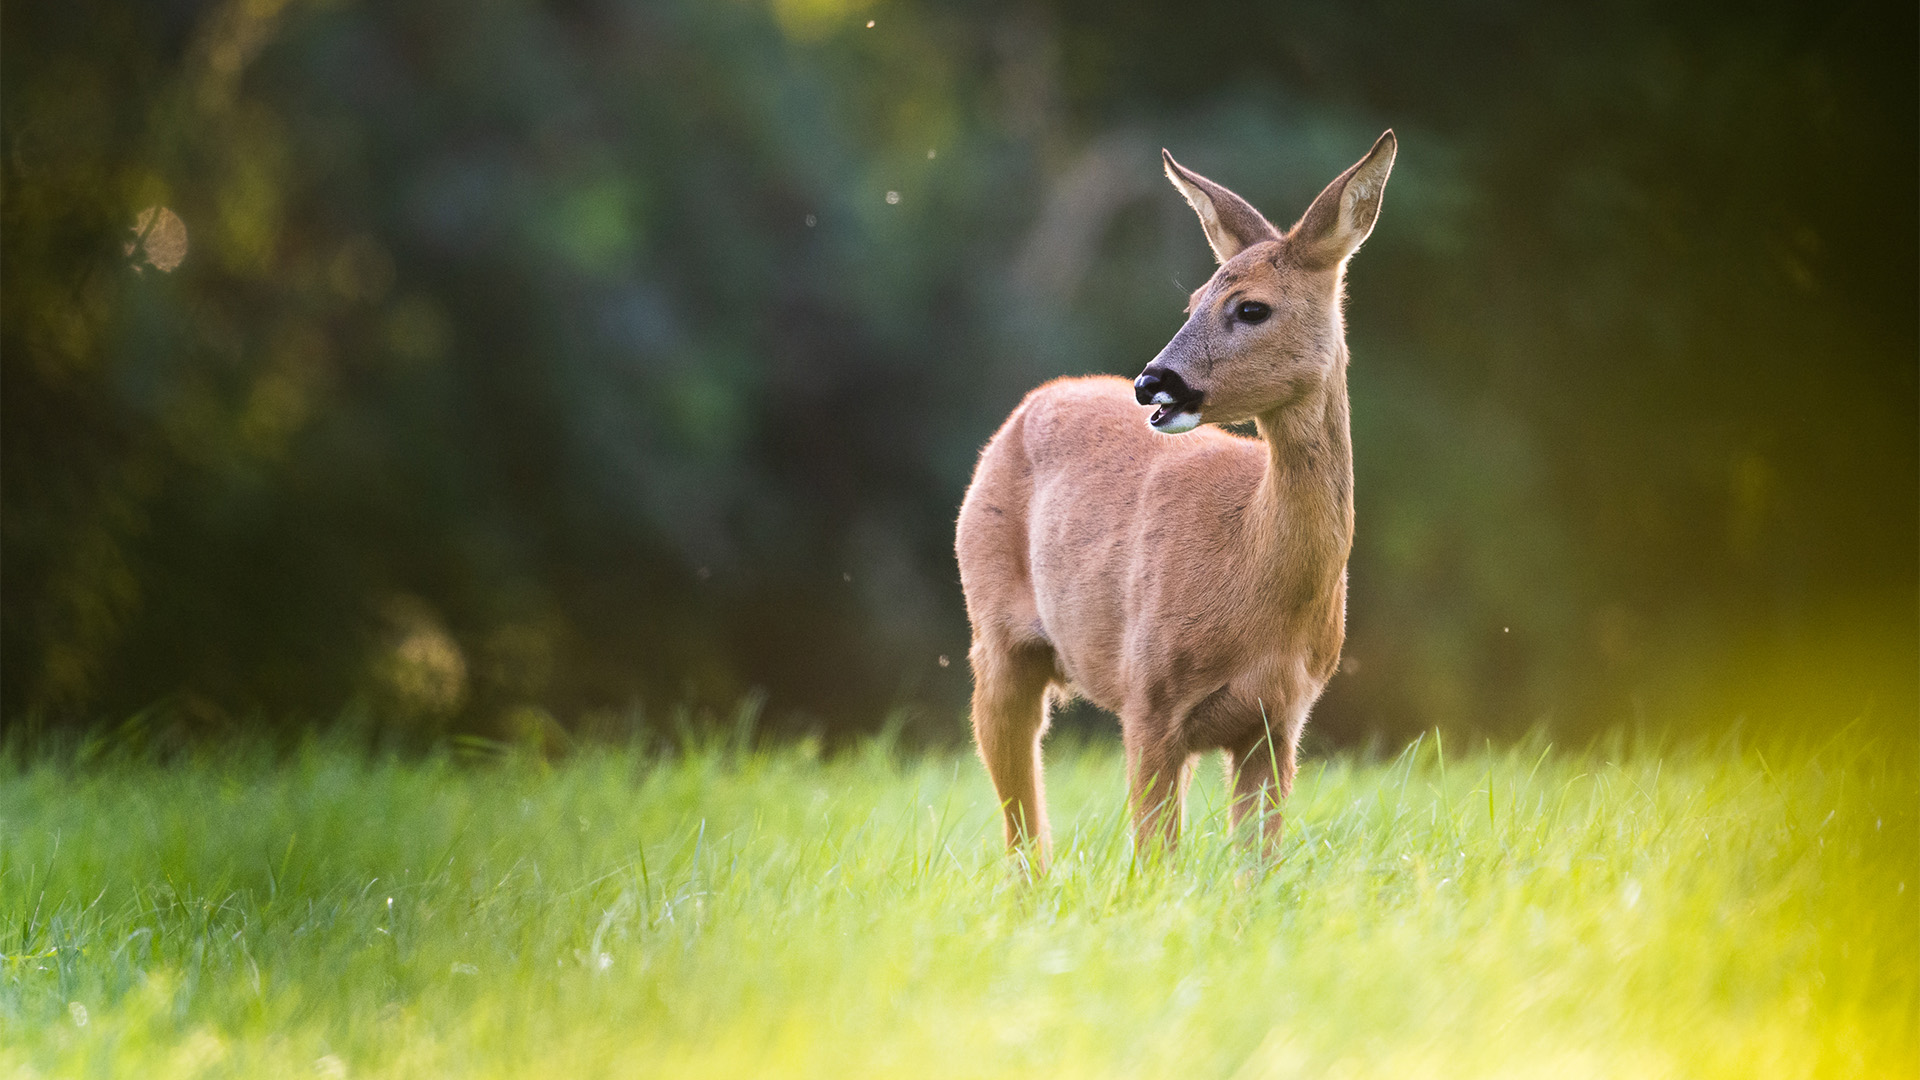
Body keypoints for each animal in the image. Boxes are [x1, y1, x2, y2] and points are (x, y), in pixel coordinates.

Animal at [960, 130, 1397, 860]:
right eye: (1190, 301)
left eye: (1251, 307)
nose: (1151, 383)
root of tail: (1030, 404)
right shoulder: (1149, 697)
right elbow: (1154, 856)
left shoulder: (1280, 719)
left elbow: (1258, 862)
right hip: (994, 632)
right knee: (1021, 814)